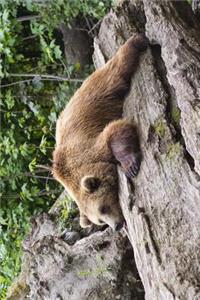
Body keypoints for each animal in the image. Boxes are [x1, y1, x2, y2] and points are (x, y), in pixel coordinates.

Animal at [52, 34, 148, 232]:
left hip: (101, 91)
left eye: (102, 208)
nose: (117, 225)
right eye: (100, 220)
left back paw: (137, 41)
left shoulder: (86, 147)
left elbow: (115, 131)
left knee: (117, 69)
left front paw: (131, 165)